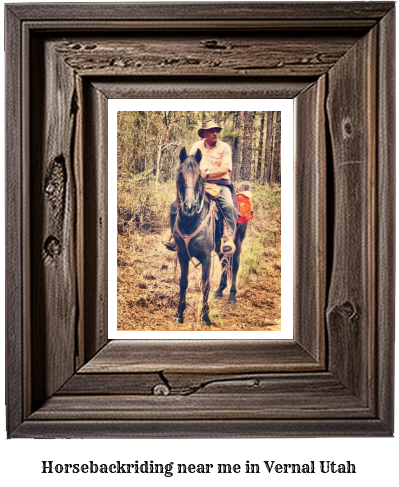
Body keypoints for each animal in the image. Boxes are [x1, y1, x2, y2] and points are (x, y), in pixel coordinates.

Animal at [174, 147, 248, 326]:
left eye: (200, 176)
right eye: (180, 174)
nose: (189, 206)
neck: (191, 221)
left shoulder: (206, 256)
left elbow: (205, 284)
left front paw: (205, 317)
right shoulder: (182, 254)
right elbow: (183, 282)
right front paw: (179, 313)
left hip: (237, 243)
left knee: (234, 265)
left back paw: (232, 297)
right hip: (219, 247)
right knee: (224, 262)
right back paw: (220, 290)